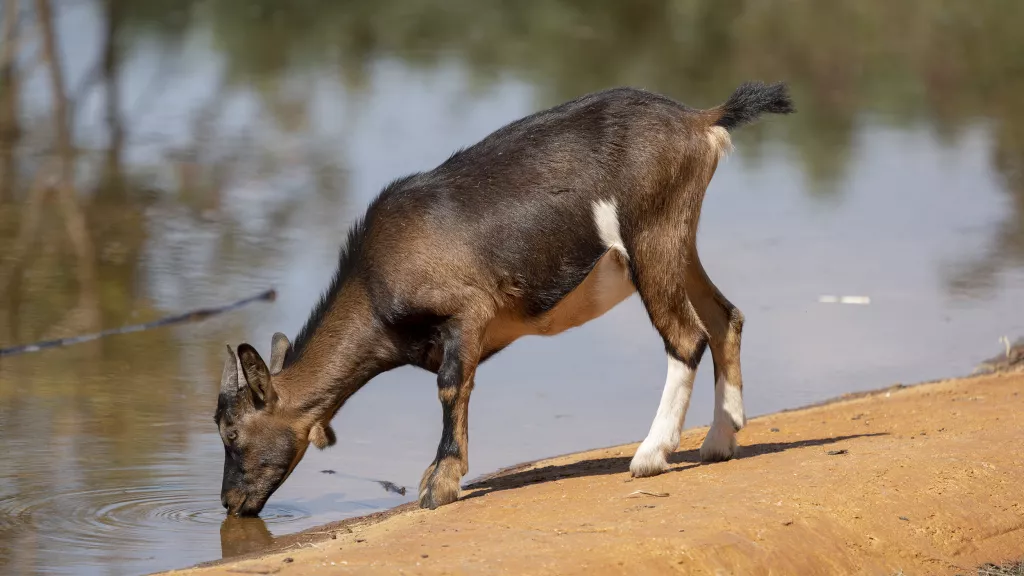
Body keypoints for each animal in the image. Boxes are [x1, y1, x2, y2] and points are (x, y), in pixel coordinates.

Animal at [214, 79, 790, 510]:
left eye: (231, 434)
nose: (229, 502)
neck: (373, 286)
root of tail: (699, 120)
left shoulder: (467, 310)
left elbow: (451, 387)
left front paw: (440, 484)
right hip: (678, 240)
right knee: (725, 318)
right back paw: (719, 442)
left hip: (652, 234)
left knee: (686, 337)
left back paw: (650, 456)